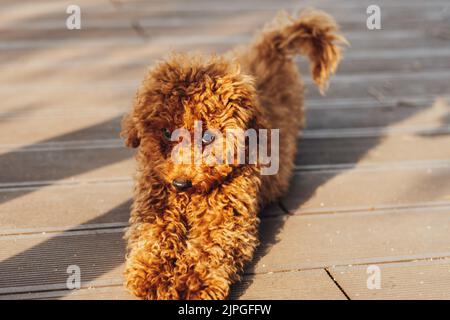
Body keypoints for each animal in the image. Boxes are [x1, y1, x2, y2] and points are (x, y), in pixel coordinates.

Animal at [121, 10, 346, 300]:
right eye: (166, 132)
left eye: (207, 137)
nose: (181, 183)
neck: (190, 198)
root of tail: (269, 48)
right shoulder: (153, 199)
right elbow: (153, 233)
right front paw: (152, 274)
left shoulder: (228, 215)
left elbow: (213, 243)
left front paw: (194, 281)